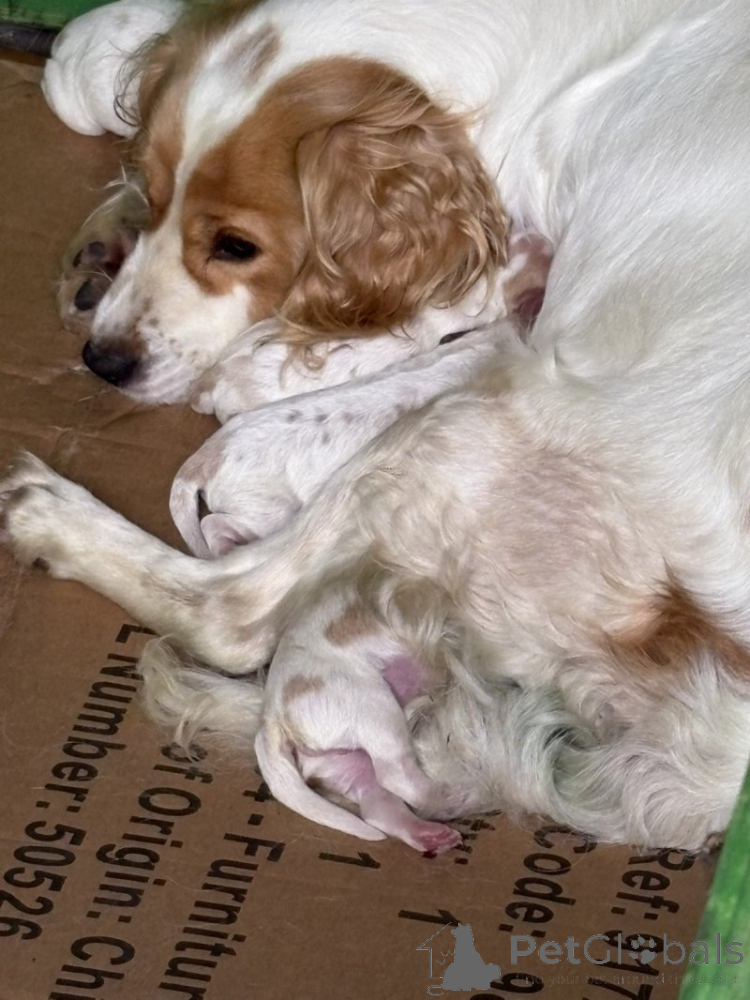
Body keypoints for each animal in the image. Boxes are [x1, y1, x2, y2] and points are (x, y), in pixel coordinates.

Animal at [5, 0, 750, 851]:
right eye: (161, 202)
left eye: (237, 247)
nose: (104, 362)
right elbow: (83, 57)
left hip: (461, 436)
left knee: (233, 610)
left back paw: (54, 516)